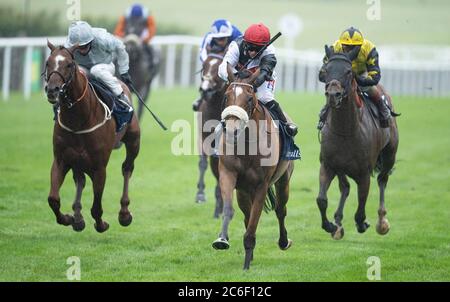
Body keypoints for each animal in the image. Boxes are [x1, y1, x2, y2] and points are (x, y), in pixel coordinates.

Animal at [44, 41, 140, 232]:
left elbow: (96, 207)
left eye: (69, 64)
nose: (52, 90)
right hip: (77, 160)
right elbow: (53, 199)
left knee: (127, 168)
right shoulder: (61, 160)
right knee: (80, 179)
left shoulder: (99, 166)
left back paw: (124, 213)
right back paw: (78, 217)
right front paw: (68, 218)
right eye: (47, 63)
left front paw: (102, 224)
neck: (78, 120)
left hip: (134, 141)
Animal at [212, 69, 294, 270]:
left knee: (280, 210)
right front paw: (222, 239)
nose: (231, 130)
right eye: (226, 96)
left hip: (283, 180)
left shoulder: (261, 186)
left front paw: (246, 266)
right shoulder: (228, 175)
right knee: (246, 215)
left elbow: (254, 223)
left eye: (249, 98)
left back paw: (283, 241)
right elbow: (229, 210)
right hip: (243, 191)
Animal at [316, 46, 400, 239]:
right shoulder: (328, 165)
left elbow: (361, 203)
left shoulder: (363, 173)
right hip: (341, 168)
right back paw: (338, 222)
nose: (333, 95)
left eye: (348, 71)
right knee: (345, 187)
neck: (346, 131)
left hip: (390, 154)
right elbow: (321, 199)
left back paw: (381, 222)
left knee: (382, 179)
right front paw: (330, 225)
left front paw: (362, 223)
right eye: (326, 70)